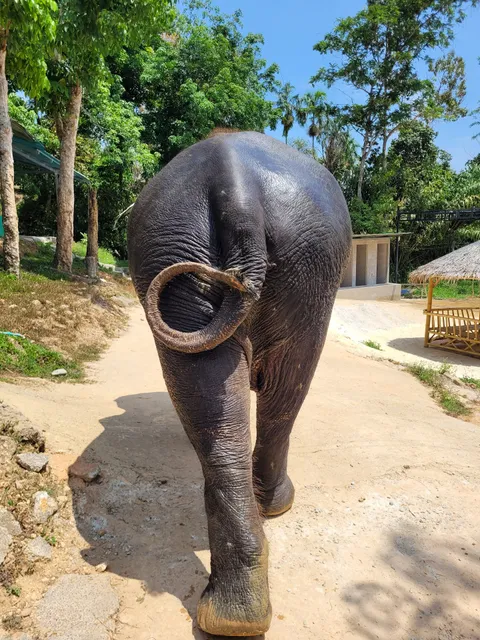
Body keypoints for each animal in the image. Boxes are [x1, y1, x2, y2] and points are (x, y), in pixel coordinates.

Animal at [128, 131, 351, 636]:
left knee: (226, 406)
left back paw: (232, 615)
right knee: (285, 391)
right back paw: (272, 514)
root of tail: (236, 186)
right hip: (293, 264)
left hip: (186, 255)